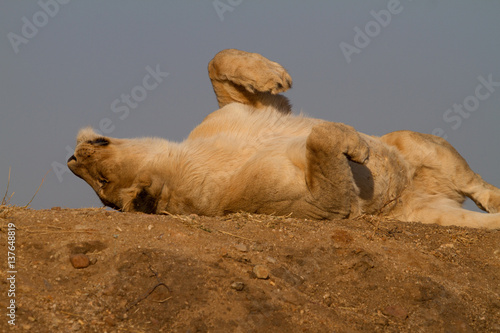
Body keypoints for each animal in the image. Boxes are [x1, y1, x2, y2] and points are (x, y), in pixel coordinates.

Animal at [68, 48, 500, 228]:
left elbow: (218, 61)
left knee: (477, 185)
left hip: (415, 142)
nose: (72, 159)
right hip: (431, 213)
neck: (184, 157)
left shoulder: (251, 110)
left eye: (100, 181)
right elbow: (319, 138)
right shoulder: (314, 207)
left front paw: (272, 73)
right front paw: (356, 146)